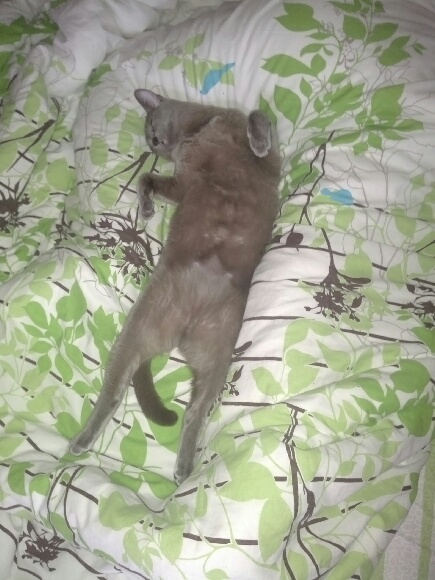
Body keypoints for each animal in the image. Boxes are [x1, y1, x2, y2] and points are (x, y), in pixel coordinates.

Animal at [69, 89, 281, 484]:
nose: (155, 142)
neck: (196, 128)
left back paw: (184, 465)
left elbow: (257, 117)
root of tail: (183, 329)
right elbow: (146, 178)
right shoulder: (186, 180)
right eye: (150, 138)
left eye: (152, 125)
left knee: (195, 411)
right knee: (115, 393)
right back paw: (86, 441)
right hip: (141, 328)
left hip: (216, 354)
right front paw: (147, 209)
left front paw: (257, 143)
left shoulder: (220, 169)